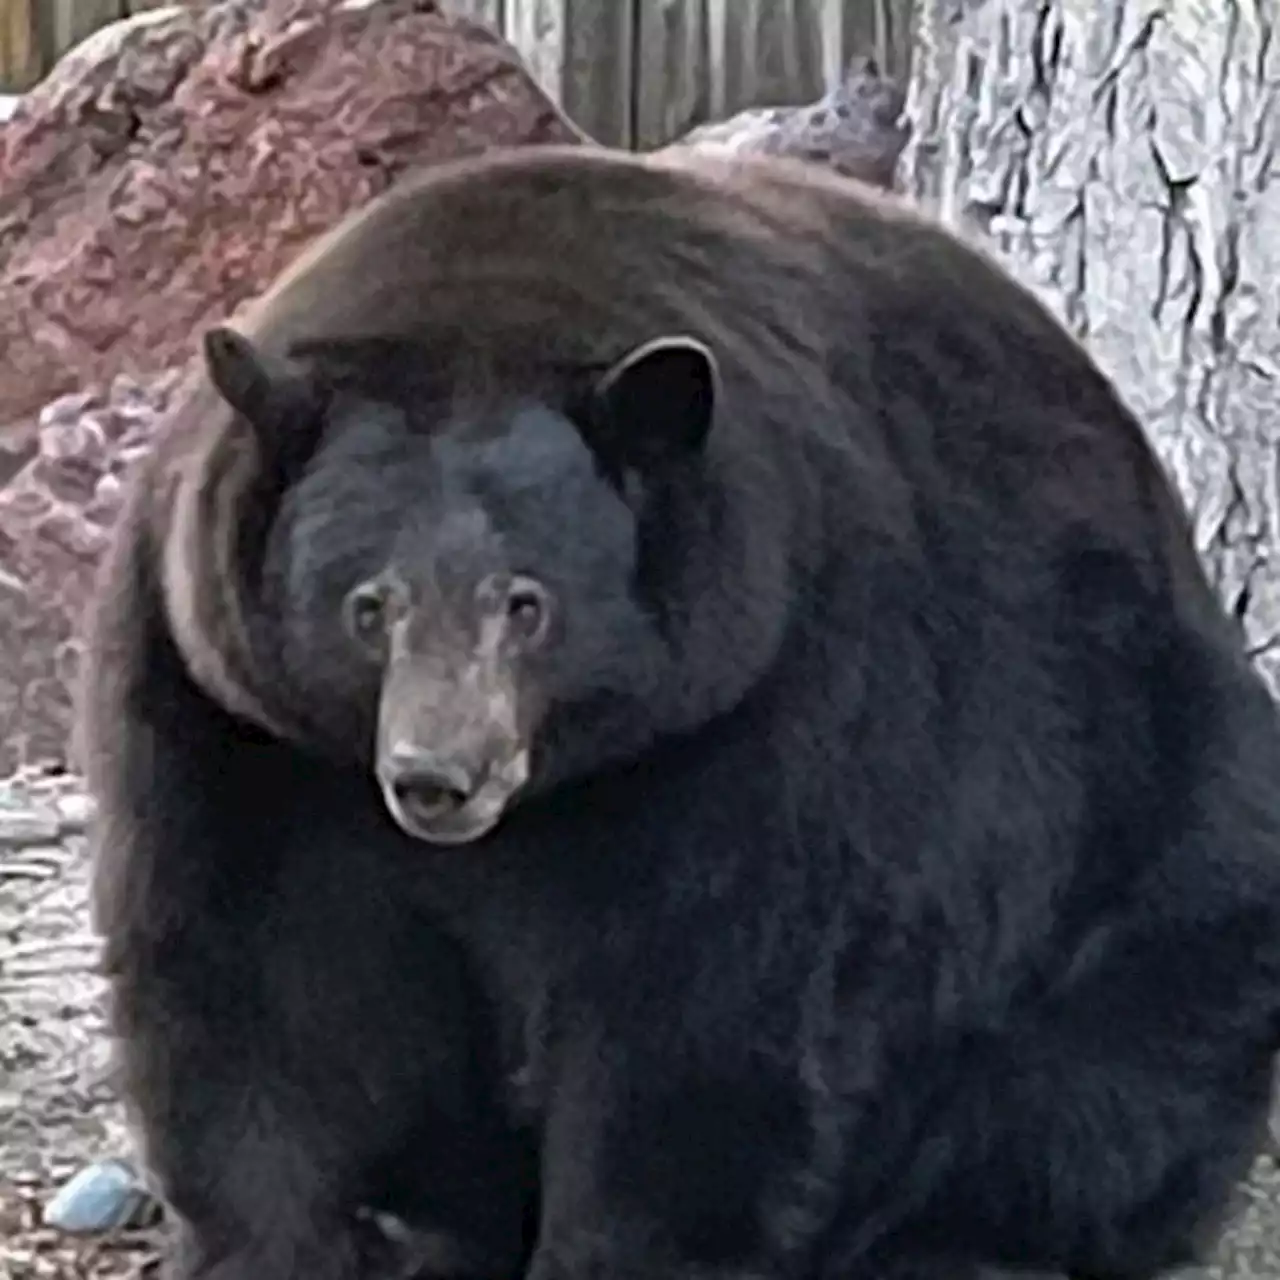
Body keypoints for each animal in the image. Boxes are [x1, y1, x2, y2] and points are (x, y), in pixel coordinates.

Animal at [82, 135, 1280, 1280]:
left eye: (526, 602)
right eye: (368, 604)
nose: (436, 776)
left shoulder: (771, 689)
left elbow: (706, 997)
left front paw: (628, 1247)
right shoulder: (229, 713)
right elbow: (251, 969)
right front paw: (272, 1242)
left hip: (1137, 815)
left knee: (1109, 1070)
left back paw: (963, 1237)